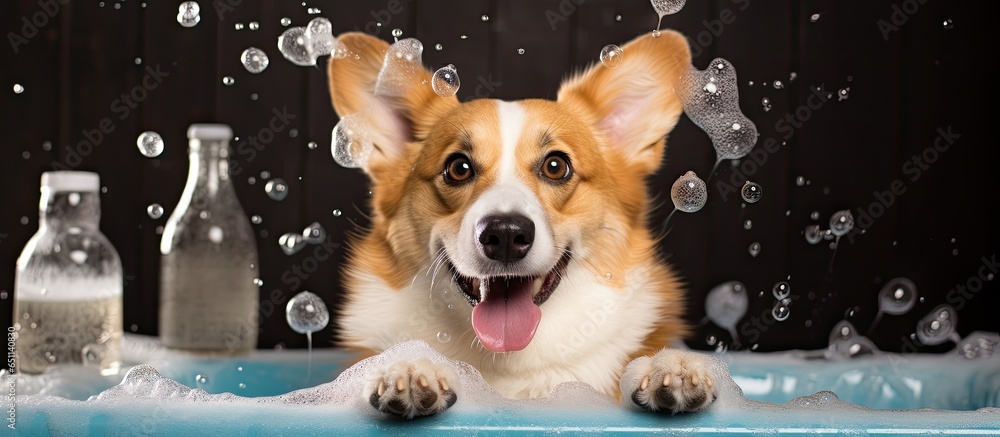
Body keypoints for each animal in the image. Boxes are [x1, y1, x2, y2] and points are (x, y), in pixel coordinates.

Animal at [324, 29, 716, 418]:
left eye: (556, 166)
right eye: (458, 168)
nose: (505, 235)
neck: (509, 359)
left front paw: (666, 367)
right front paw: (411, 368)